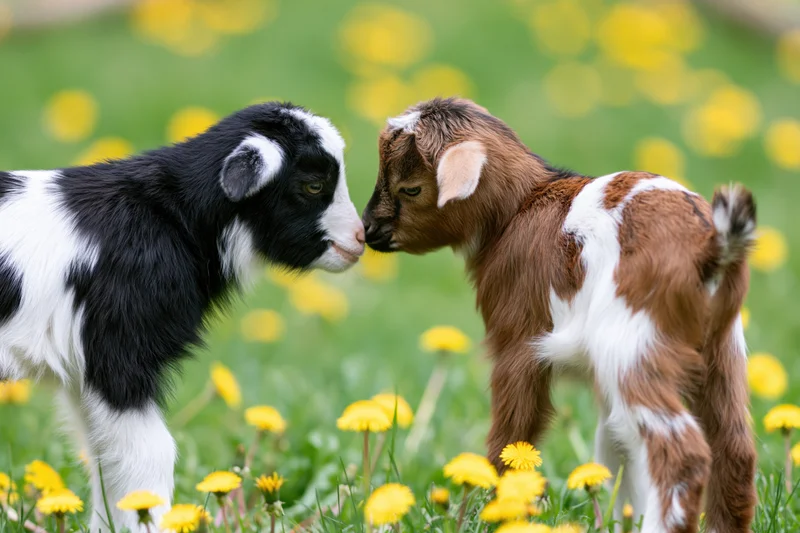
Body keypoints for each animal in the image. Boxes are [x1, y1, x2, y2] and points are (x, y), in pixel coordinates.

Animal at [0, 102, 364, 532]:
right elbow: (149, 453)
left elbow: (105, 456)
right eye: (313, 185)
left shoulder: (87, 373)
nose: (360, 238)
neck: (174, 217)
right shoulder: (121, 355)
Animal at [362, 97, 757, 533]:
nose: (368, 230)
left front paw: (496, 507)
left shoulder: (517, 342)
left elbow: (514, 431)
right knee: (734, 446)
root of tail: (711, 246)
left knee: (681, 449)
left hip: (632, 347)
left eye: (410, 188)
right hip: (721, 350)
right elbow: (616, 445)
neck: (518, 209)